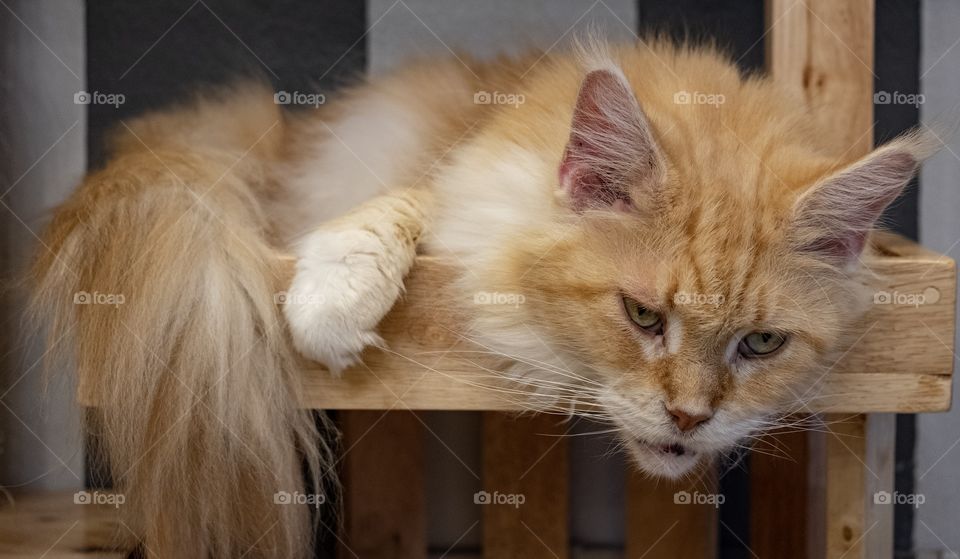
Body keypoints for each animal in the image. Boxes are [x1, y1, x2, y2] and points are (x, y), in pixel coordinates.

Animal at [30, 42, 928, 559]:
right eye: (643, 316)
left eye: (761, 344)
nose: (689, 418)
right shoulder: (448, 180)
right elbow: (410, 207)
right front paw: (335, 293)